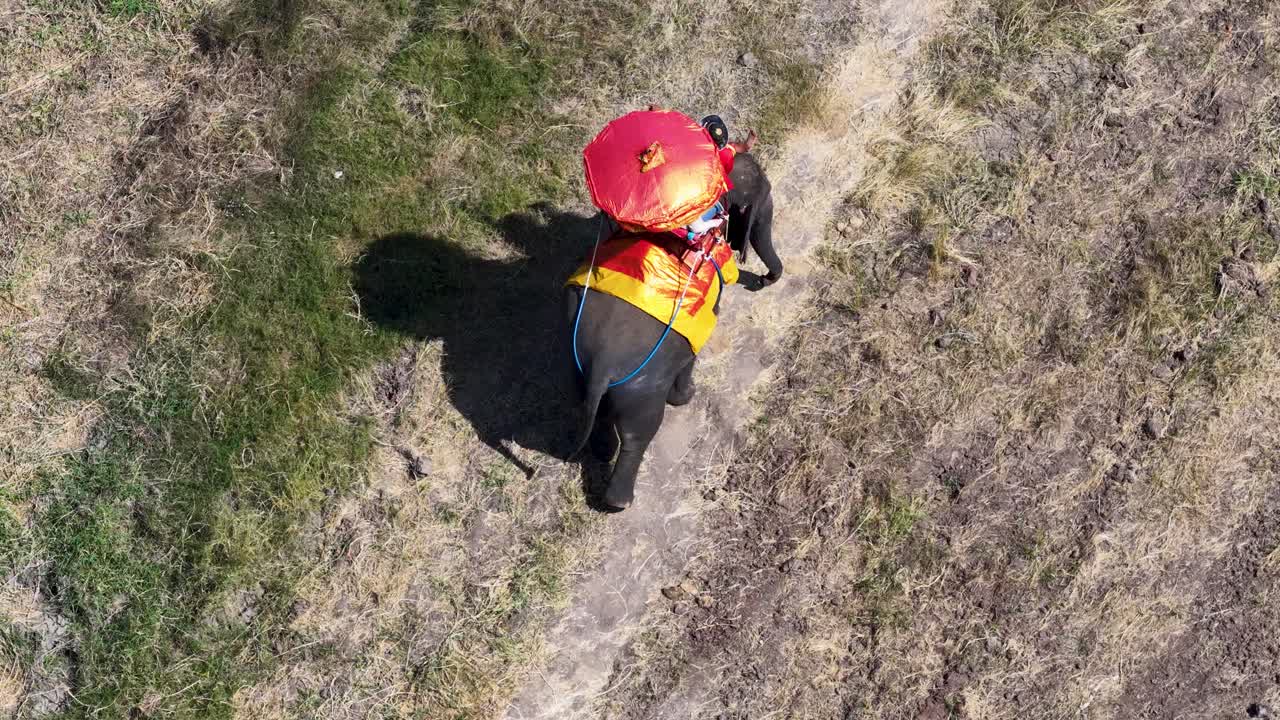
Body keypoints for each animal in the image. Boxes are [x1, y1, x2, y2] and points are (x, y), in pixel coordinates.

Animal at [567, 152, 783, 511]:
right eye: (765, 199)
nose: (763, 280)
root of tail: (601, 366)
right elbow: (706, 323)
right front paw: (687, 397)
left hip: (579, 370)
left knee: (596, 415)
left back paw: (602, 452)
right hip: (641, 390)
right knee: (638, 435)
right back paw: (619, 502)